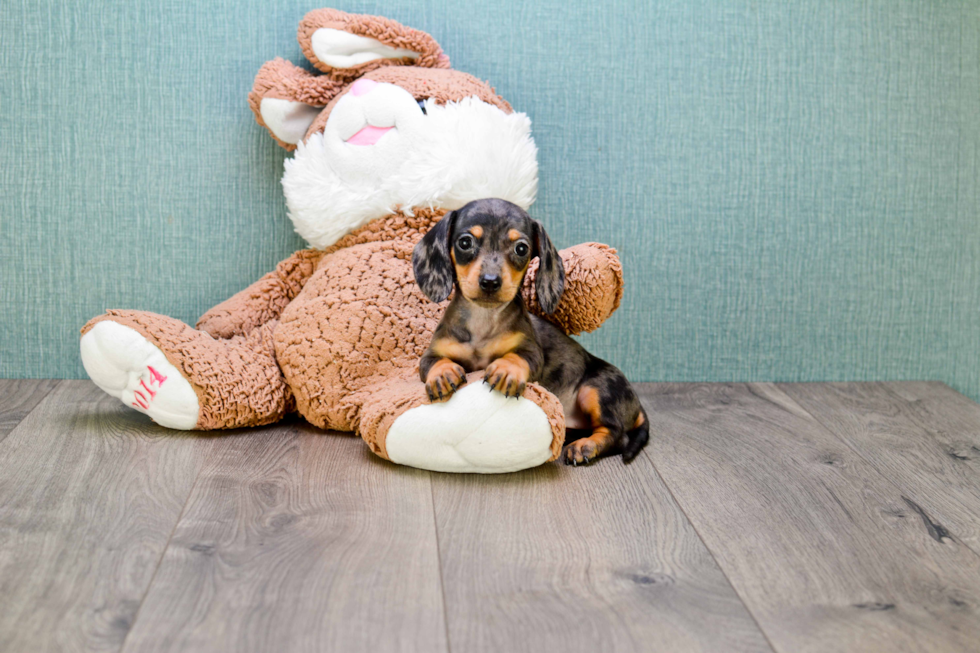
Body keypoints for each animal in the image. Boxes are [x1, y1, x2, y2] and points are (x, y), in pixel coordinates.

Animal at [410, 199, 648, 464]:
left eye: (521, 248)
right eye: (464, 242)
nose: (490, 282)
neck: (483, 319)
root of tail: (636, 405)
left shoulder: (532, 351)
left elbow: (518, 356)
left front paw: (506, 370)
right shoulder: (431, 353)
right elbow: (434, 362)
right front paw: (443, 373)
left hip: (595, 389)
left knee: (616, 433)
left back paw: (586, 446)